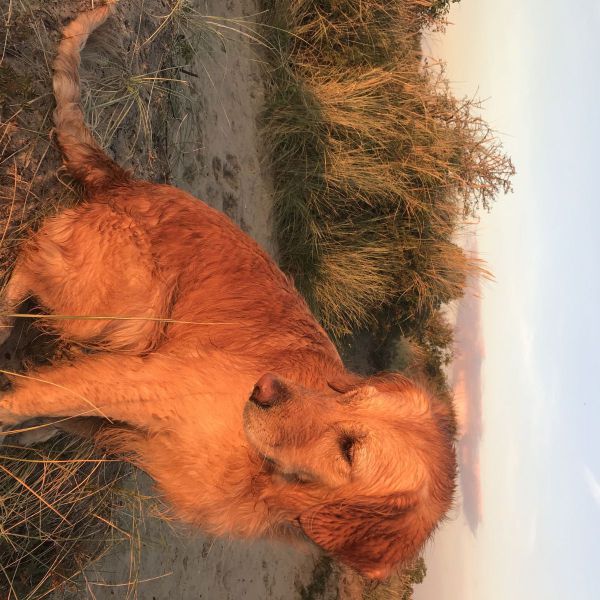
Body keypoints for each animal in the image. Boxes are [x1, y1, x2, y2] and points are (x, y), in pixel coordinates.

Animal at [0, 2, 454, 580]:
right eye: (344, 394)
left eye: (350, 449)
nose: (264, 388)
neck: (262, 472)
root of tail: (130, 181)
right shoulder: (137, 378)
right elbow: (29, 400)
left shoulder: (121, 416)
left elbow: (43, 408)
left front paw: (26, 427)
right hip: (121, 303)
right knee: (30, 255)